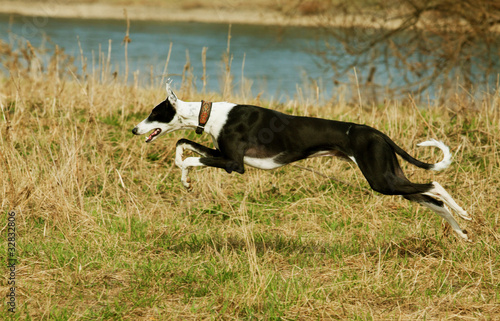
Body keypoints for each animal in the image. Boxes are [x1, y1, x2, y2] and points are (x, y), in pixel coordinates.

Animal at [131, 82, 470, 240]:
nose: (134, 129)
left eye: (153, 113)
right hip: (390, 178)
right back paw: (461, 231)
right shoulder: (221, 154)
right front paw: (183, 176)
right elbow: (182, 144)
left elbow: (190, 157)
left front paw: (185, 174)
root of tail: (377, 133)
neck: (211, 113)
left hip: (381, 180)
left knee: (435, 184)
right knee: (433, 198)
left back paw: (464, 213)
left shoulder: (233, 164)